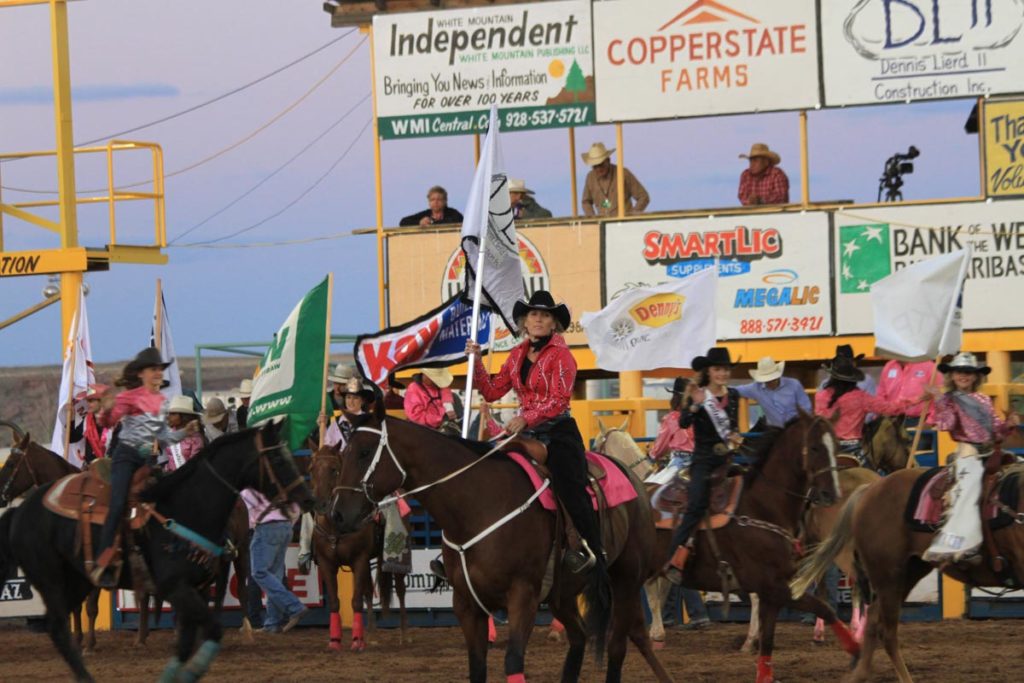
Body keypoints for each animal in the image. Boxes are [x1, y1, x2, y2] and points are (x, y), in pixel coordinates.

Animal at [0, 423, 311, 679]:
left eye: (12, 462)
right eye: (278, 458)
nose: (306, 497)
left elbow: (94, 607)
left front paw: (92, 643)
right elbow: (102, 605)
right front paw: (101, 640)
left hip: (242, 551)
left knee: (243, 585)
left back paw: (246, 630)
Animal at [307, 440, 407, 655]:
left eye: (334, 470)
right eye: (311, 469)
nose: (320, 504)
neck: (335, 527)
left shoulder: (359, 560)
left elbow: (356, 601)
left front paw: (356, 641)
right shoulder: (327, 564)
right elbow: (335, 602)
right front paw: (335, 640)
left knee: (401, 590)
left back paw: (404, 635)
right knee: (369, 592)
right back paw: (372, 634)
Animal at [331, 409, 675, 679]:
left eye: (364, 452)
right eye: (343, 454)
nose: (337, 514)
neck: (477, 503)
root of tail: (636, 480)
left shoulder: (522, 595)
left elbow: (513, 662)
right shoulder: (466, 604)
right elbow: (477, 667)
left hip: (626, 579)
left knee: (619, 645)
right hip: (563, 594)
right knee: (580, 638)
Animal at [651, 411, 860, 683]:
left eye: (836, 447)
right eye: (814, 447)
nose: (831, 494)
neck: (762, 506)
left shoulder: (773, 590)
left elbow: (769, 640)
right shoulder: (773, 586)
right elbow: (823, 607)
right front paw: (856, 650)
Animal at [794, 464, 1024, 683]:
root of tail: (870, 488)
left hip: (907, 572)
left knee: (873, 618)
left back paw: (859, 669)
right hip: (888, 575)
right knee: (886, 631)